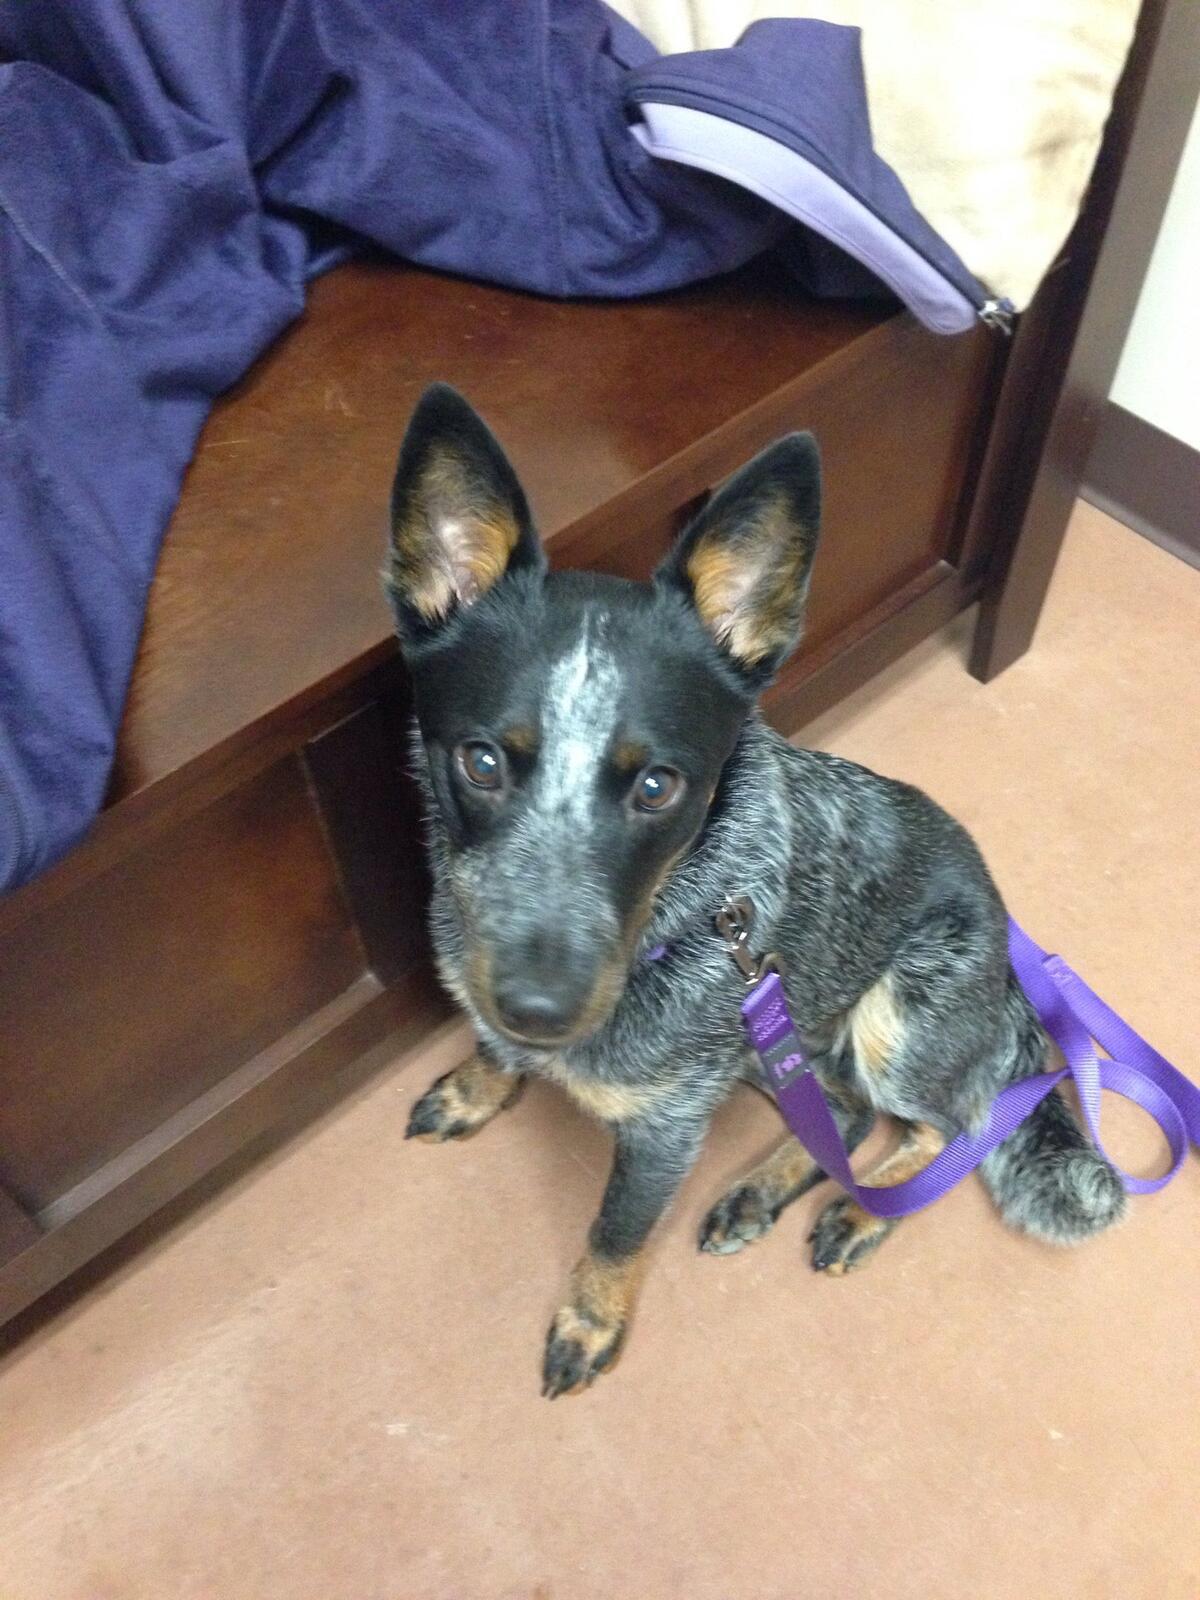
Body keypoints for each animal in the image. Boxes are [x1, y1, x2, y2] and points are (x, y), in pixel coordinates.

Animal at [386, 384, 1126, 1398]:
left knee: (950, 1125)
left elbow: (614, 1234)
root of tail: (1012, 952)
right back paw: (760, 1192)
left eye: (659, 786)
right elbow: (489, 1045)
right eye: (483, 761)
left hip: (894, 1020)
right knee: (849, 1115)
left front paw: (589, 1322)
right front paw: (479, 1081)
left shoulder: (666, 1129)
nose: (541, 1009)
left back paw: (868, 1212)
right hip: (777, 1043)